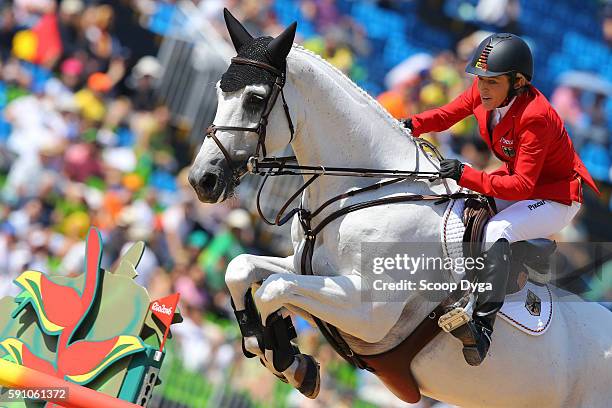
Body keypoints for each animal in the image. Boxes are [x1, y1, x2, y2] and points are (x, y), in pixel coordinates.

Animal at [190, 10, 612, 408]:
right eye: (219, 92)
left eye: (255, 99)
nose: (202, 179)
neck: (363, 189)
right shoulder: (308, 272)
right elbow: (241, 269)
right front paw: (283, 355)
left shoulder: (369, 313)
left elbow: (272, 290)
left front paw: (287, 359)